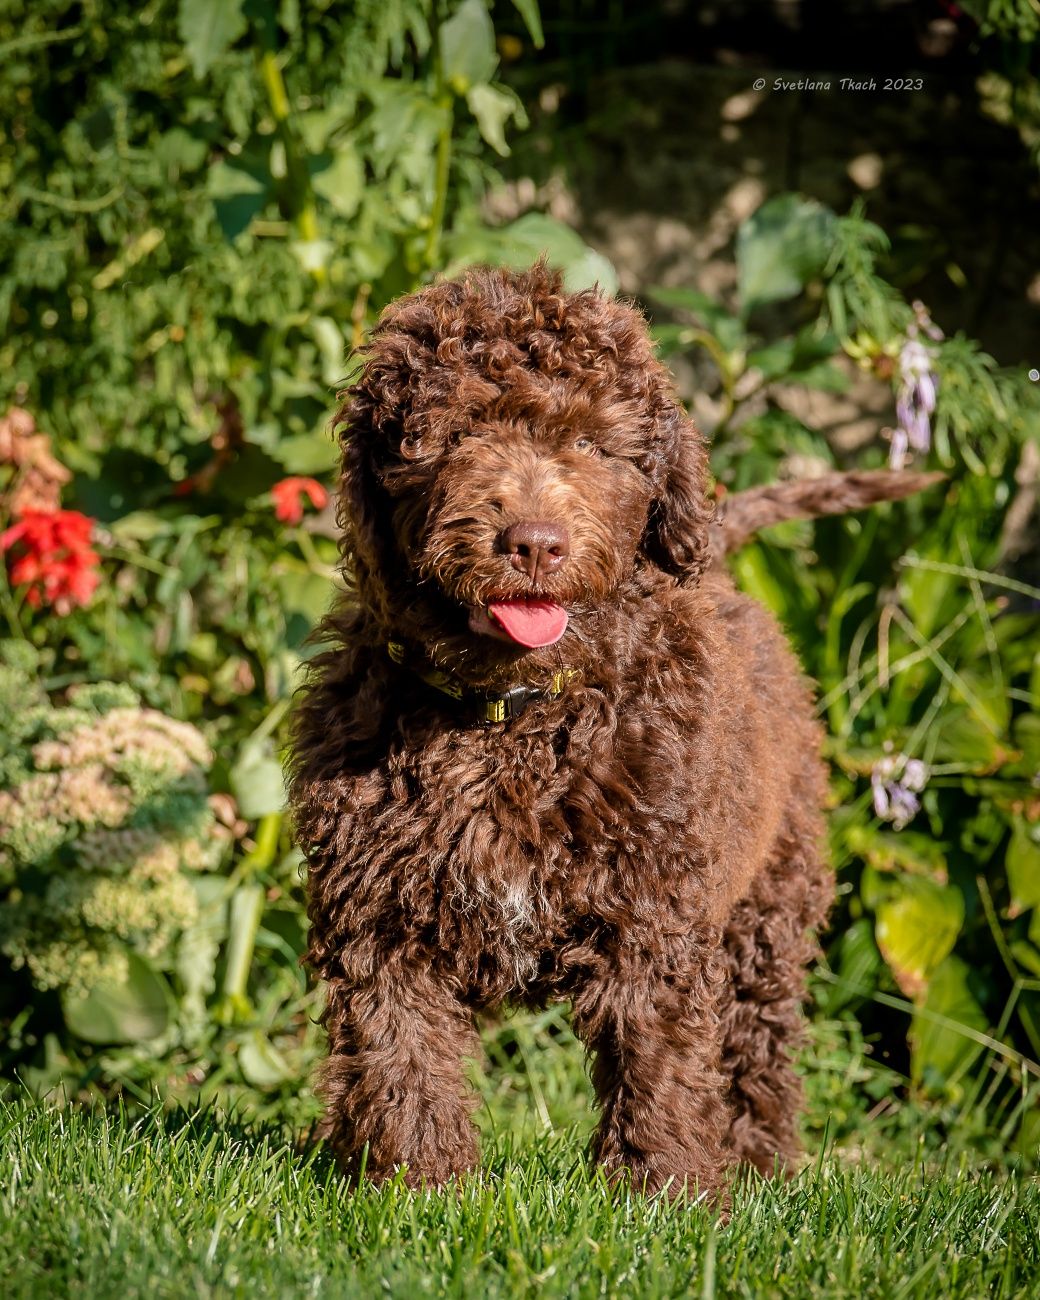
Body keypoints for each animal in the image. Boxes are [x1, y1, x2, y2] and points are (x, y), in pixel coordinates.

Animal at [289, 261, 935, 1196]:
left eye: (591, 446)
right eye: (456, 437)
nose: (533, 543)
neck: (510, 715)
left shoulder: (655, 906)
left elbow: (656, 1053)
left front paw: (663, 1191)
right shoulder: (379, 906)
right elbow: (399, 1051)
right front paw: (418, 1184)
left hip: (769, 897)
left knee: (758, 1036)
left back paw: (760, 1167)